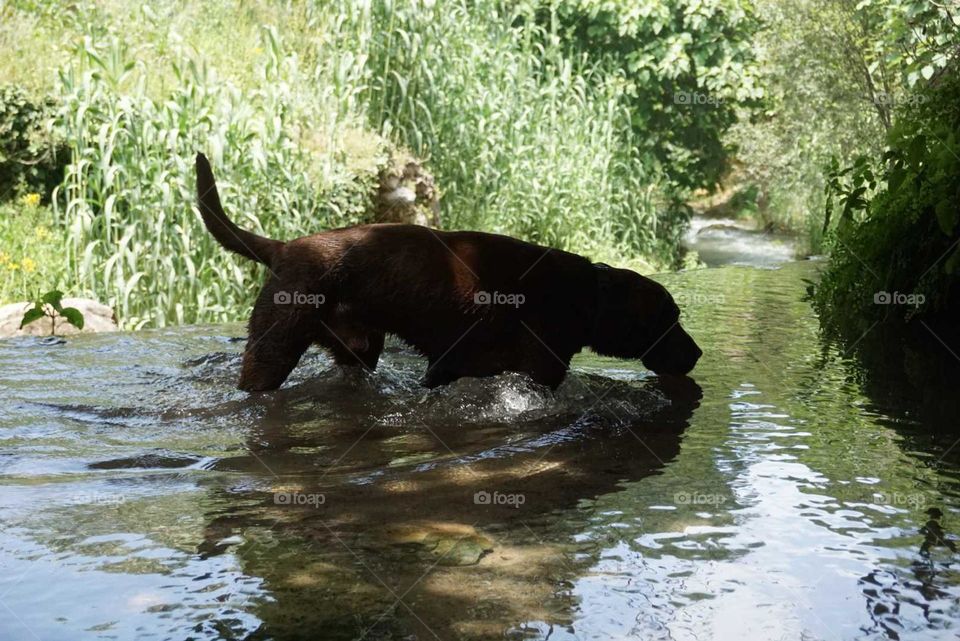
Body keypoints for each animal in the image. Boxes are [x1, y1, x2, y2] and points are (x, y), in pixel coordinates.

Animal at [197, 154, 704, 390]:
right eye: (670, 319)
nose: (698, 353)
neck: (589, 297)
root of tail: (284, 247)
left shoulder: (447, 368)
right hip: (273, 350)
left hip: (360, 349)